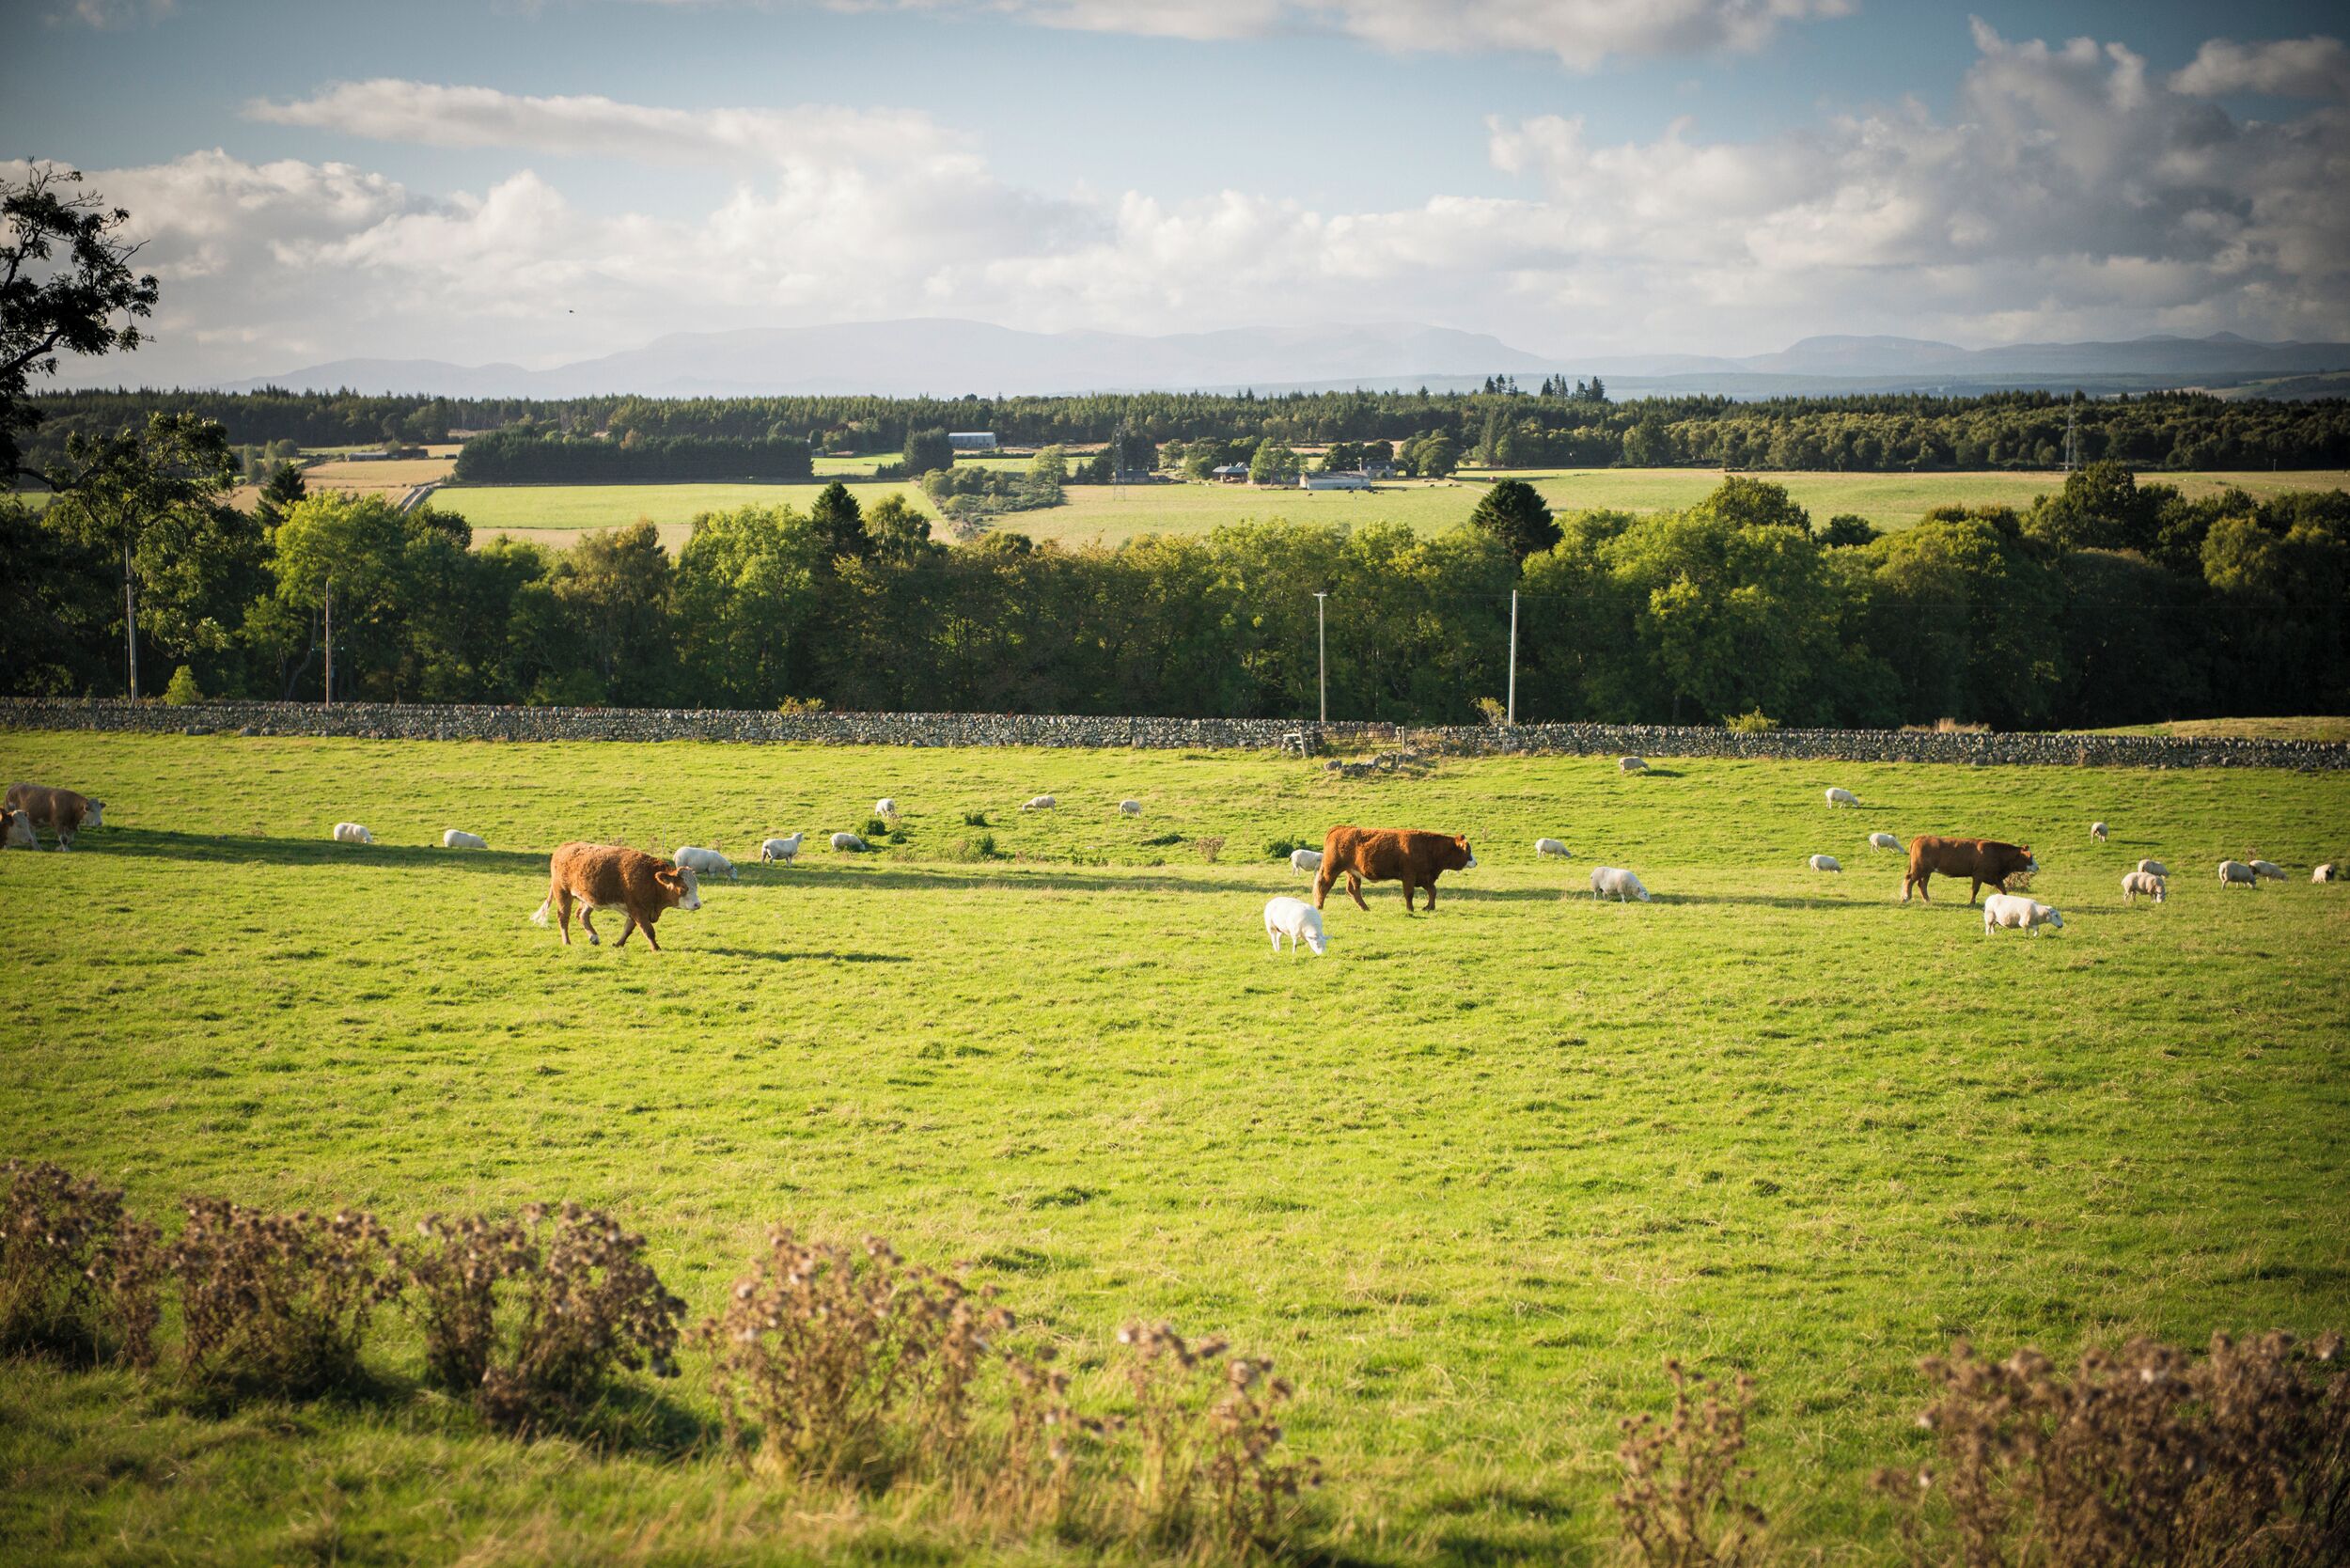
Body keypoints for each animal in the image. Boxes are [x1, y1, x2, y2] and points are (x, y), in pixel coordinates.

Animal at [531, 843, 700, 950]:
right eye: (683, 887)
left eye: (696, 885)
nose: (697, 904)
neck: (650, 878)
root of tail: (565, 846)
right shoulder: (637, 909)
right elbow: (648, 930)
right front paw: (656, 948)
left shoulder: (634, 910)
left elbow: (628, 929)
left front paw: (618, 944)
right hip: (563, 893)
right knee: (563, 917)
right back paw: (567, 942)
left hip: (588, 898)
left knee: (581, 915)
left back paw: (594, 937)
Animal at [1313, 826, 1476, 914]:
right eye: (1468, 851)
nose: (1475, 862)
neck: (1428, 847)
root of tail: (1341, 828)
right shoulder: (1409, 876)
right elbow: (1409, 893)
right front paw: (1410, 909)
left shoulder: (1424, 877)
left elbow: (1433, 891)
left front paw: (1429, 907)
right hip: (1331, 870)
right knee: (1323, 886)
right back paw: (1319, 906)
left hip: (1353, 873)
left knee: (1353, 890)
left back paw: (1365, 908)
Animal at [1901, 835, 2037, 906]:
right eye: (2029, 857)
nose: (2037, 867)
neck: (1996, 853)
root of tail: (1922, 837)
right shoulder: (1978, 875)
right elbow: (1975, 890)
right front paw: (1972, 903)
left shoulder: (1995, 877)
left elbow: (2003, 890)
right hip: (1919, 869)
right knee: (1909, 879)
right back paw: (1906, 897)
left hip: (1926, 871)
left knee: (1921, 884)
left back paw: (1927, 900)